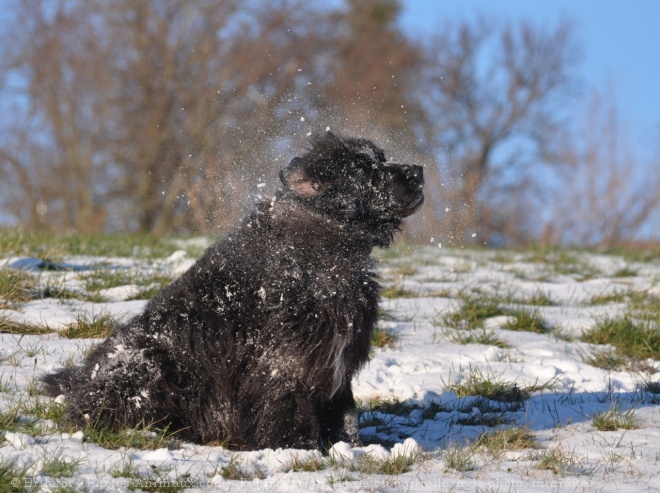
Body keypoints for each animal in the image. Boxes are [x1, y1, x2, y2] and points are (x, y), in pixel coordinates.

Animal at [42, 132, 422, 450]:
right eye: (365, 170)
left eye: (381, 159)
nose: (418, 170)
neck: (326, 251)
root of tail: (84, 379)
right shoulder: (286, 359)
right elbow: (290, 405)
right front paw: (296, 447)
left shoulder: (335, 357)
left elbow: (345, 410)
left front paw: (350, 446)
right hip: (145, 362)